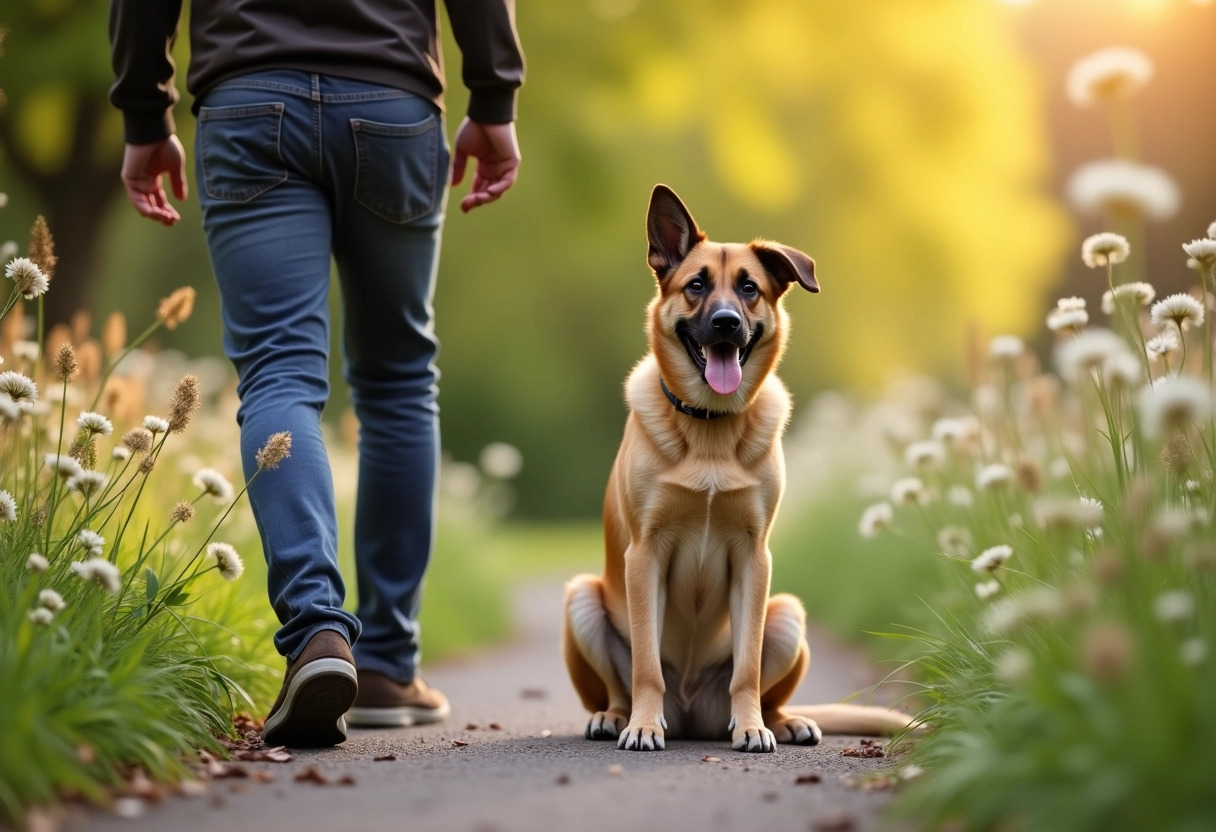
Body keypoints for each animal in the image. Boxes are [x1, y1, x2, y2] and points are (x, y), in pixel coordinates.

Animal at [559, 184, 914, 749]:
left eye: (749, 288)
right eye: (696, 285)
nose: (726, 323)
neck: (710, 427)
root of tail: (689, 716)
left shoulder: (754, 556)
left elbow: (746, 667)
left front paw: (750, 727)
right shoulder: (644, 554)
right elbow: (645, 667)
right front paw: (642, 725)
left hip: (787, 614)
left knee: (771, 692)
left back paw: (783, 722)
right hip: (582, 601)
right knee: (619, 685)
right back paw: (616, 717)